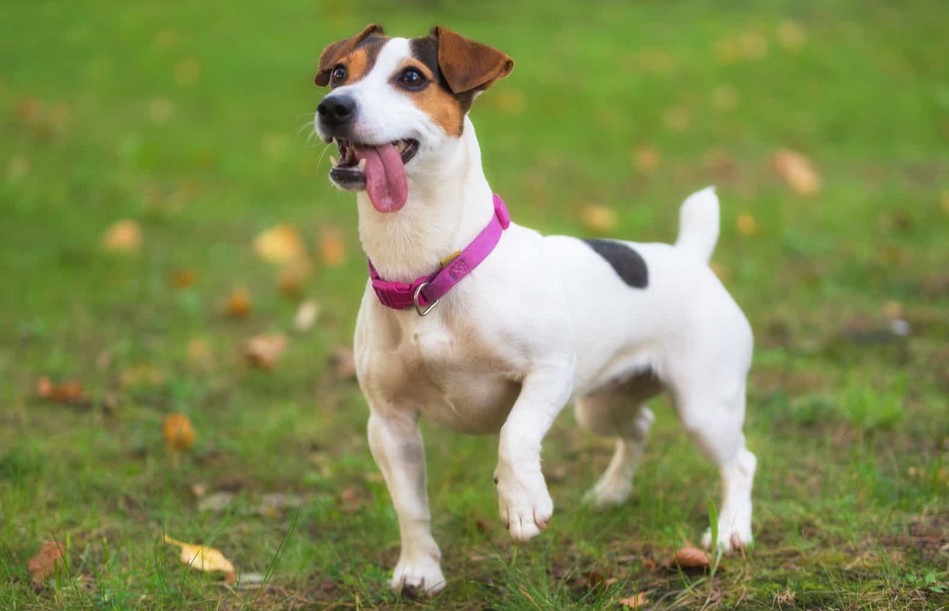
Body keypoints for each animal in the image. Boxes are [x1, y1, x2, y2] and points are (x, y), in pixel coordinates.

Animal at [314, 25, 760, 596]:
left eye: (412, 78)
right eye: (339, 73)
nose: (333, 107)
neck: (429, 275)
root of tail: (689, 255)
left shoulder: (548, 372)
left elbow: (516, 431)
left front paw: (522, 501)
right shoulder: (389, 422)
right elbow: (410, 504)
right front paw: (419, 569)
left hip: (706, 406)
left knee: (740, 462)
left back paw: (729, 532)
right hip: (602, 404)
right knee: (638, 426)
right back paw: (611, 492)